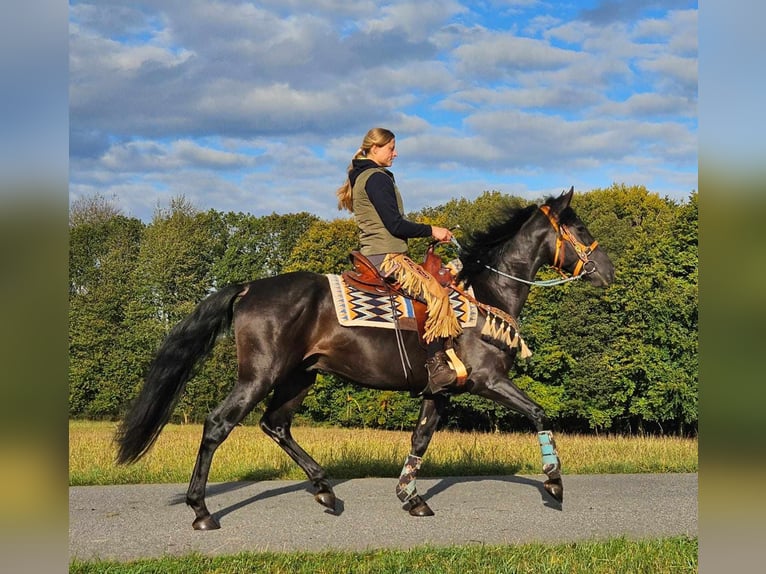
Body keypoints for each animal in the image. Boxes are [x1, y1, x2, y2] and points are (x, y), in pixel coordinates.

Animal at [115, 188, 616, 532]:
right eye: (580, 230)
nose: (609, 271)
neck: (485, 295)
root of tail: (250, 287)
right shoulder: (487, 380)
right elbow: (539, 412)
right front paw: (554, 482)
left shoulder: (440, 392)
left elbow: (420, 441)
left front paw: (411, 497)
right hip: (259, 376)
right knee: (219, 424)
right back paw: (202, 510)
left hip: (299, 378)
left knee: (275, 424)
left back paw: (324, 489)